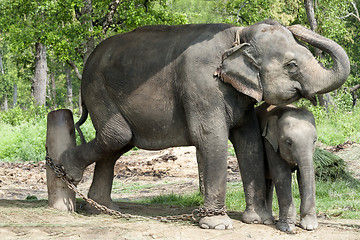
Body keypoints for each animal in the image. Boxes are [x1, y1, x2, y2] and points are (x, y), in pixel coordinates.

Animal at [256, 102, 318, 232]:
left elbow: (303, 175)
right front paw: (286, 228)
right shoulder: (269, 143)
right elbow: (282, 175)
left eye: (314, 141)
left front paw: (310, 226)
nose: (301, 212)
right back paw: (268, 220)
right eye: (288, 142)